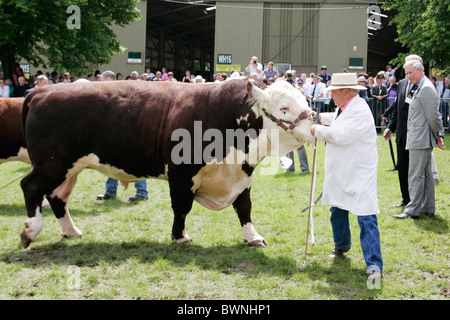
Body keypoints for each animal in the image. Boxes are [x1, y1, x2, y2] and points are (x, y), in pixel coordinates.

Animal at [19, 79, 312, 248]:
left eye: (305, 99)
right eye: (284, 108)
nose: (314, 123)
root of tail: (42, 90)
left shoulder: (242, 175)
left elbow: (244, 207)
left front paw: (253, 237)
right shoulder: (181, 173)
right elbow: (182, 207)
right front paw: (180, 236)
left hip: (67, 167)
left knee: (57, 197)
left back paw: (71, 232)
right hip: (52, 164)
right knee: (30, 186)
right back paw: (30, 231)